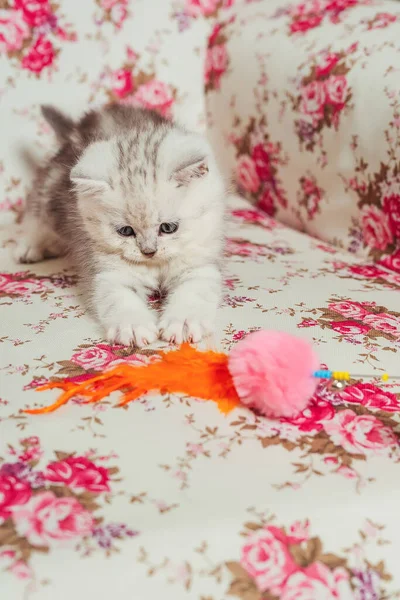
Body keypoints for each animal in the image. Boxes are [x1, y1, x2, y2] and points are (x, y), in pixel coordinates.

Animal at [14, 103, 225, 346]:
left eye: (168, 227)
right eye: (126, 231)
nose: (149, 251)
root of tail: (76, 127)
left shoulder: (200, 261)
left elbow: (195, 290)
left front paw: (183, 321)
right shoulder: (106, 269)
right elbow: (118, 298)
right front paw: (133, 326)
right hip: (52, 187)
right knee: (37, 209)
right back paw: (29, 246)